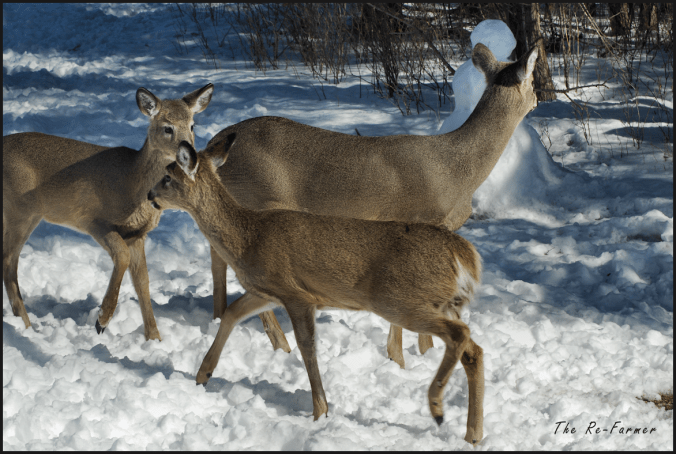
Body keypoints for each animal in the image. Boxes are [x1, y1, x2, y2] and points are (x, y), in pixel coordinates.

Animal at [2, 83, 225, 342]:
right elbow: (122, 257)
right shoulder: (94, 220)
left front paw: (154, 338)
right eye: (167, 127)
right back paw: (26, 326)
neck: (131, 182)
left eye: (192, 125)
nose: (191, 154)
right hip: (20, 210)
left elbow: (143, 281)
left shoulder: (137, 234)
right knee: (8, 261)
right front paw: (102, 320)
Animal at [147, 139, 485, 445]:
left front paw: (320, 411)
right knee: (474, 351)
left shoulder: (296, 293)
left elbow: (307, 347)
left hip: (400, 301)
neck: (248, 238)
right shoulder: (266, 291)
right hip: (439, 304)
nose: (150, 195)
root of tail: (464, 255)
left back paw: (437, 407)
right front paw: (202, 375)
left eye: (168, 176)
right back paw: (473, 434)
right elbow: (231, 313)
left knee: (460, 335)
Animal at [201, 42, 538, 368]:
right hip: (257, 199)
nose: (538, 98)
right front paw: (415, 355)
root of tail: (213, 144)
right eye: (534, 80)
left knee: (218, 260)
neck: (458, 170)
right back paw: (279, 344)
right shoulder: (423, 218)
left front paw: (401, 356)